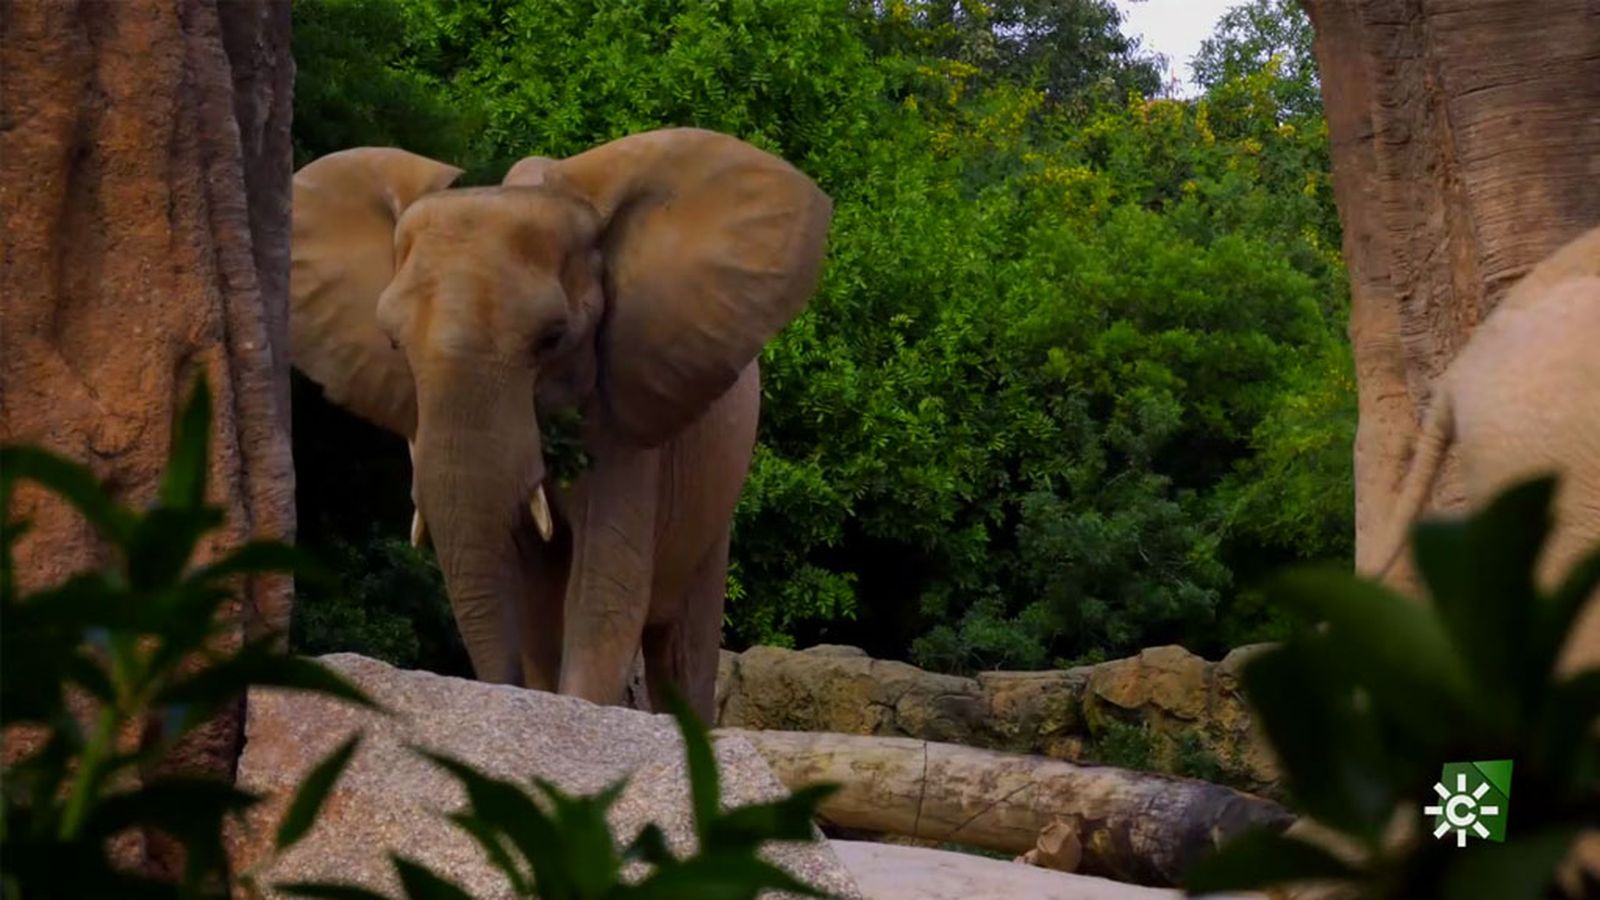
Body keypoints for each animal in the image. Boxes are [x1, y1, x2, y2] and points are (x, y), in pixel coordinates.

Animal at [288, 128, 833, 719]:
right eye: (393, 344)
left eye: (551, 339)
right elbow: (536, 604)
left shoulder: (625, 414)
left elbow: (602, 595)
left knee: (682, 647)